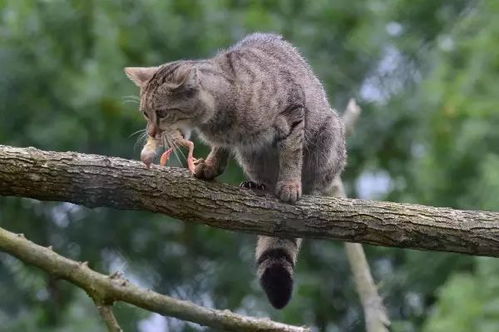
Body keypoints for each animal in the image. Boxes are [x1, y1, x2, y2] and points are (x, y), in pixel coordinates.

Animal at [124, 33, 348, 308]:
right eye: (145, 113)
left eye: (162, 113)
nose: (152, 133)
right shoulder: (231, 140)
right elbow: (220, 150)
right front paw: (210, 167)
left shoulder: (293, 112)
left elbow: (291, 154)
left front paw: (289, 184)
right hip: (251, 156)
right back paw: (259, 185)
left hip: (329, 133)